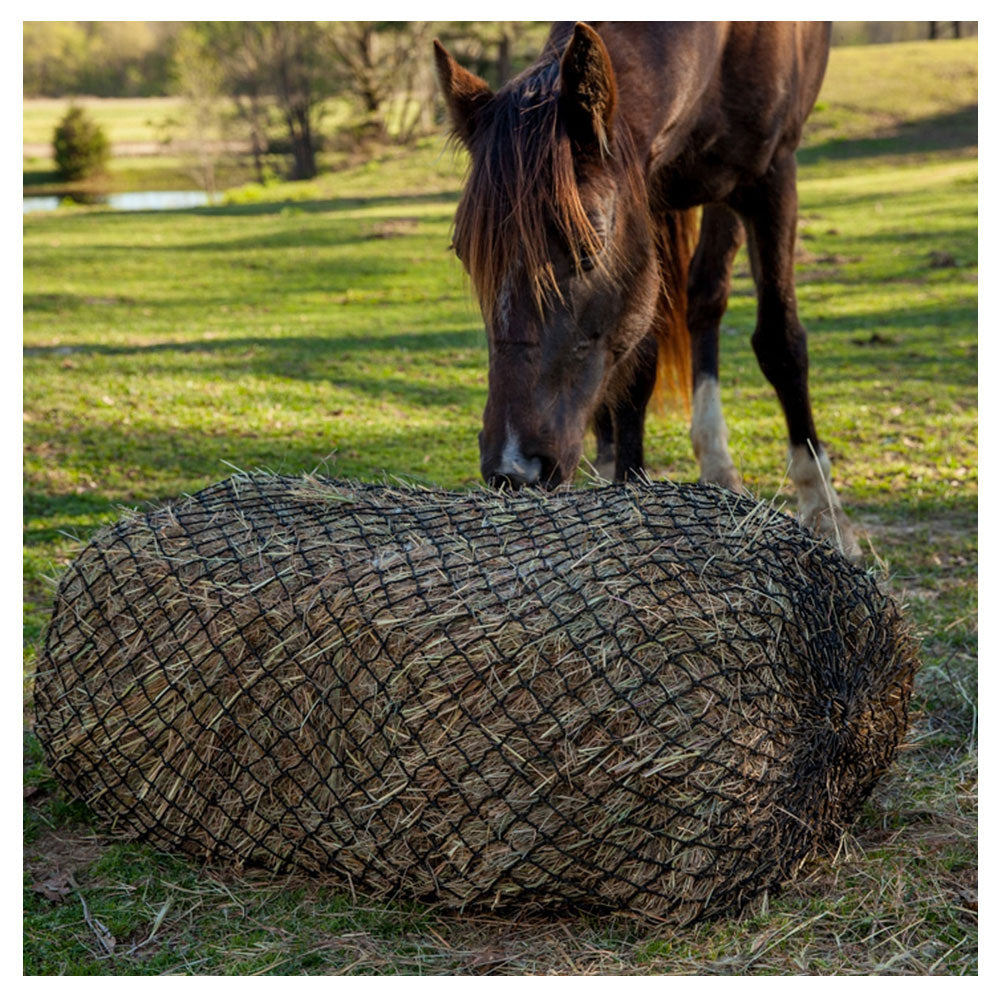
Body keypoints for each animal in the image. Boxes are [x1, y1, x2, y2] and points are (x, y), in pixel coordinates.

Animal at [436, 19, 860, 560]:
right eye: (465, 255)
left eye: (588, 247)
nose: (513, 471)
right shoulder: (646, 195)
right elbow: (639, 367)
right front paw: (630, 491)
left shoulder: (771, 177)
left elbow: (780, 343)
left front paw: (825, 510)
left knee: (707, 298)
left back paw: (717, 462)